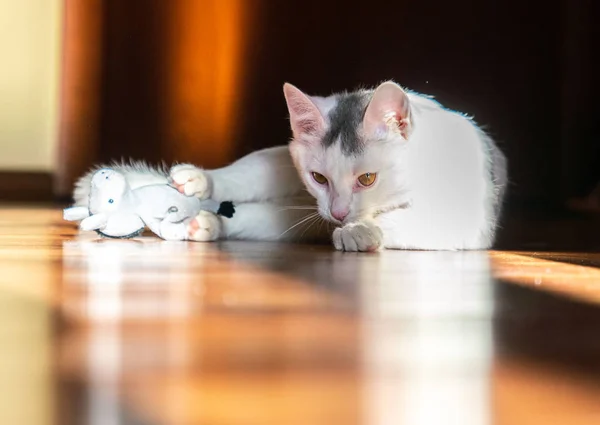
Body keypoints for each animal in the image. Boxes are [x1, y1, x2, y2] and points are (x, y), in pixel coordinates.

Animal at [74, 81, 506, 250]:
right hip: (290, 185)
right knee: (256, 179)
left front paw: (362, 232)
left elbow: (403, 221)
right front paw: (203, 181)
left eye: (368, 178)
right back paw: (203, 201)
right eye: (318, 177)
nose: (339, 213)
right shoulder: (292, 165)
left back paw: (203, 222)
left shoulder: (464, 221)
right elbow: (253, 168)